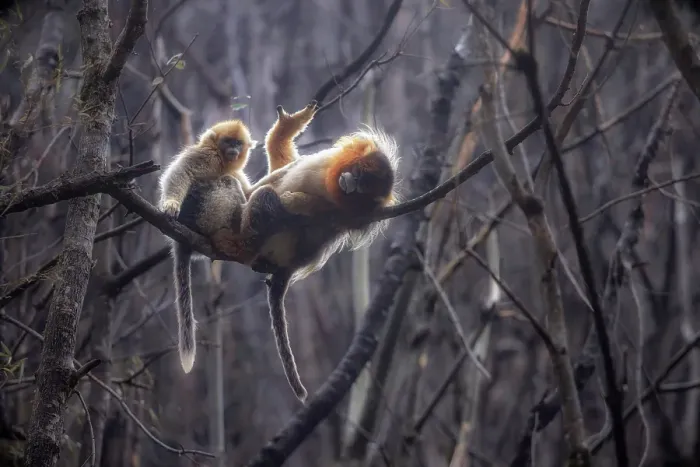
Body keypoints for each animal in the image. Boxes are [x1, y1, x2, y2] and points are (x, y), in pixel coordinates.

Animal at [158, 119, 258, 374]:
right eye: (228, 142)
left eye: (238, 143)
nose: (234, 149)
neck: (222, 161)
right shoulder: (203, 155)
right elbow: (180, 173)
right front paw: (170, 204)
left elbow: (249, 191)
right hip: (200, 213)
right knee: (226, 183)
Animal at [228, 101, 400, 401]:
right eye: (360, 175)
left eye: (364, 188)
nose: (351, 184)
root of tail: (287, 266)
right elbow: (282, 165)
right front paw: (289, 125)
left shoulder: (344, 217)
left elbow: (315, 220)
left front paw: (297, 202)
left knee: (266, 200)